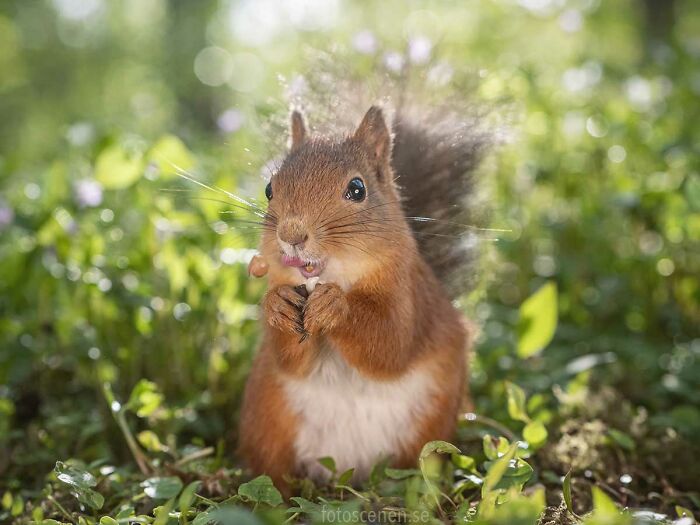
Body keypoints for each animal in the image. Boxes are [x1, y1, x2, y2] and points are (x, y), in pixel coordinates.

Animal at [239, 102, 486, 494]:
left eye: (357, 189)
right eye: (268, 189)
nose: (291, 234)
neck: (335, 277)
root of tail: (346, 473)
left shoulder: (410, 297)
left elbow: (389, 346)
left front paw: (335, 306)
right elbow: (288, 360)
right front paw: (276, 305)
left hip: (431, 427)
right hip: (267, 420)